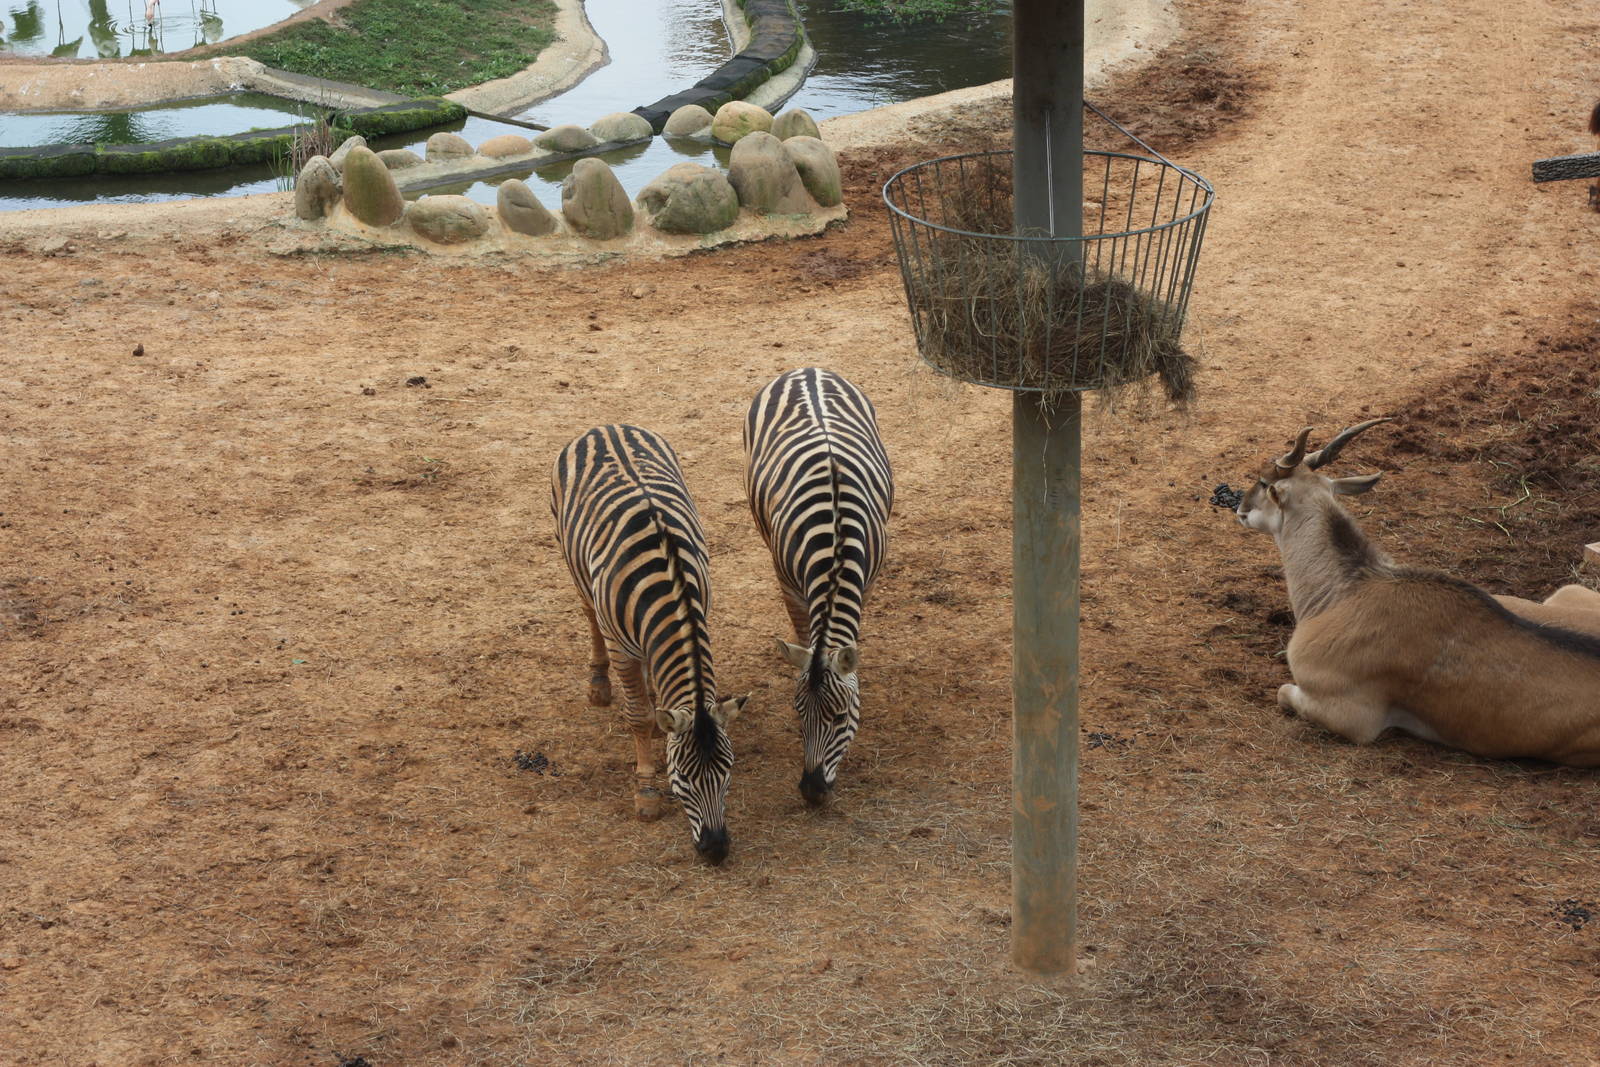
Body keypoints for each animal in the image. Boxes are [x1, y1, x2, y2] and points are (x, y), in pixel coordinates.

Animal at [551, 424, 747, 864]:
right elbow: (637, 716)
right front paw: (646, 794)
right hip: (574, 565)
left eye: (727, 771)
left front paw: (662, 715)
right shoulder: (623, 648)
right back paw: (600, 685)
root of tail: (605, 425)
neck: (670, 587)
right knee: (589, 616)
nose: (716, 849)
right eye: (682, 779)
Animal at [744, 368, 894, 806]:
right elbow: (804, 636)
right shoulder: (787, 580)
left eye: (842, 718)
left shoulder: (868, 578)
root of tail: (805, 370)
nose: (811, 791)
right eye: (797, 713)